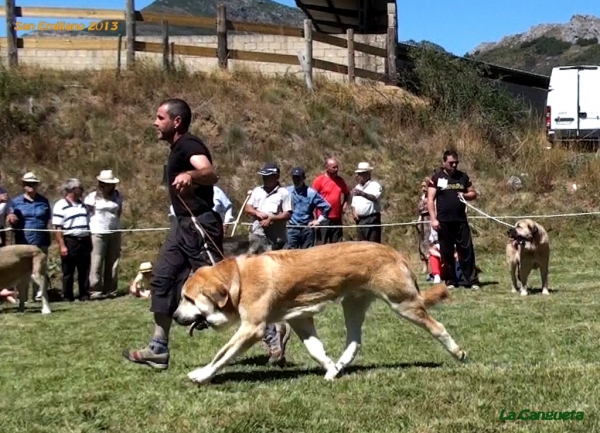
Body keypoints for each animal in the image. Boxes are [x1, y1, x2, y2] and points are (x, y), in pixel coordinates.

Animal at [171, 240, 466, 384]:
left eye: (187, 298)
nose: (174, 316)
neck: (239, 280)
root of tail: (395, 252)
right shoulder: (300, 320)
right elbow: (316, 350)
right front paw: (331, 369)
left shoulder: (252, 328)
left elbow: (221, 355)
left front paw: (202, 375)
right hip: (353, 305)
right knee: (355, 342)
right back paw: (340, 365)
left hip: (403, 304)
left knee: (438, 327)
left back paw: (458, 352)